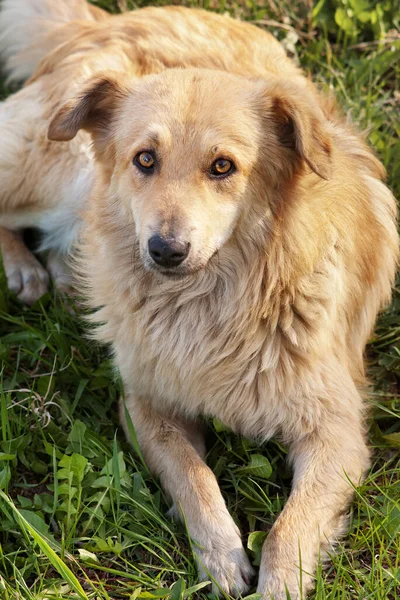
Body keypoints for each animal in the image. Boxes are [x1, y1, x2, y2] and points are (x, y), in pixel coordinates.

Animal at [0, 0, 398, 596]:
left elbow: (290, 527)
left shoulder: (338, 431)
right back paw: (25, 269)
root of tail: (107, 20)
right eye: (145, 159)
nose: (165, 250)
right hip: (56, 173)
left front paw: (278, 583)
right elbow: (195, 477)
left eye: (223, 166)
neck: (210, 303)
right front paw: (221, 556)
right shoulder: (145, 405)